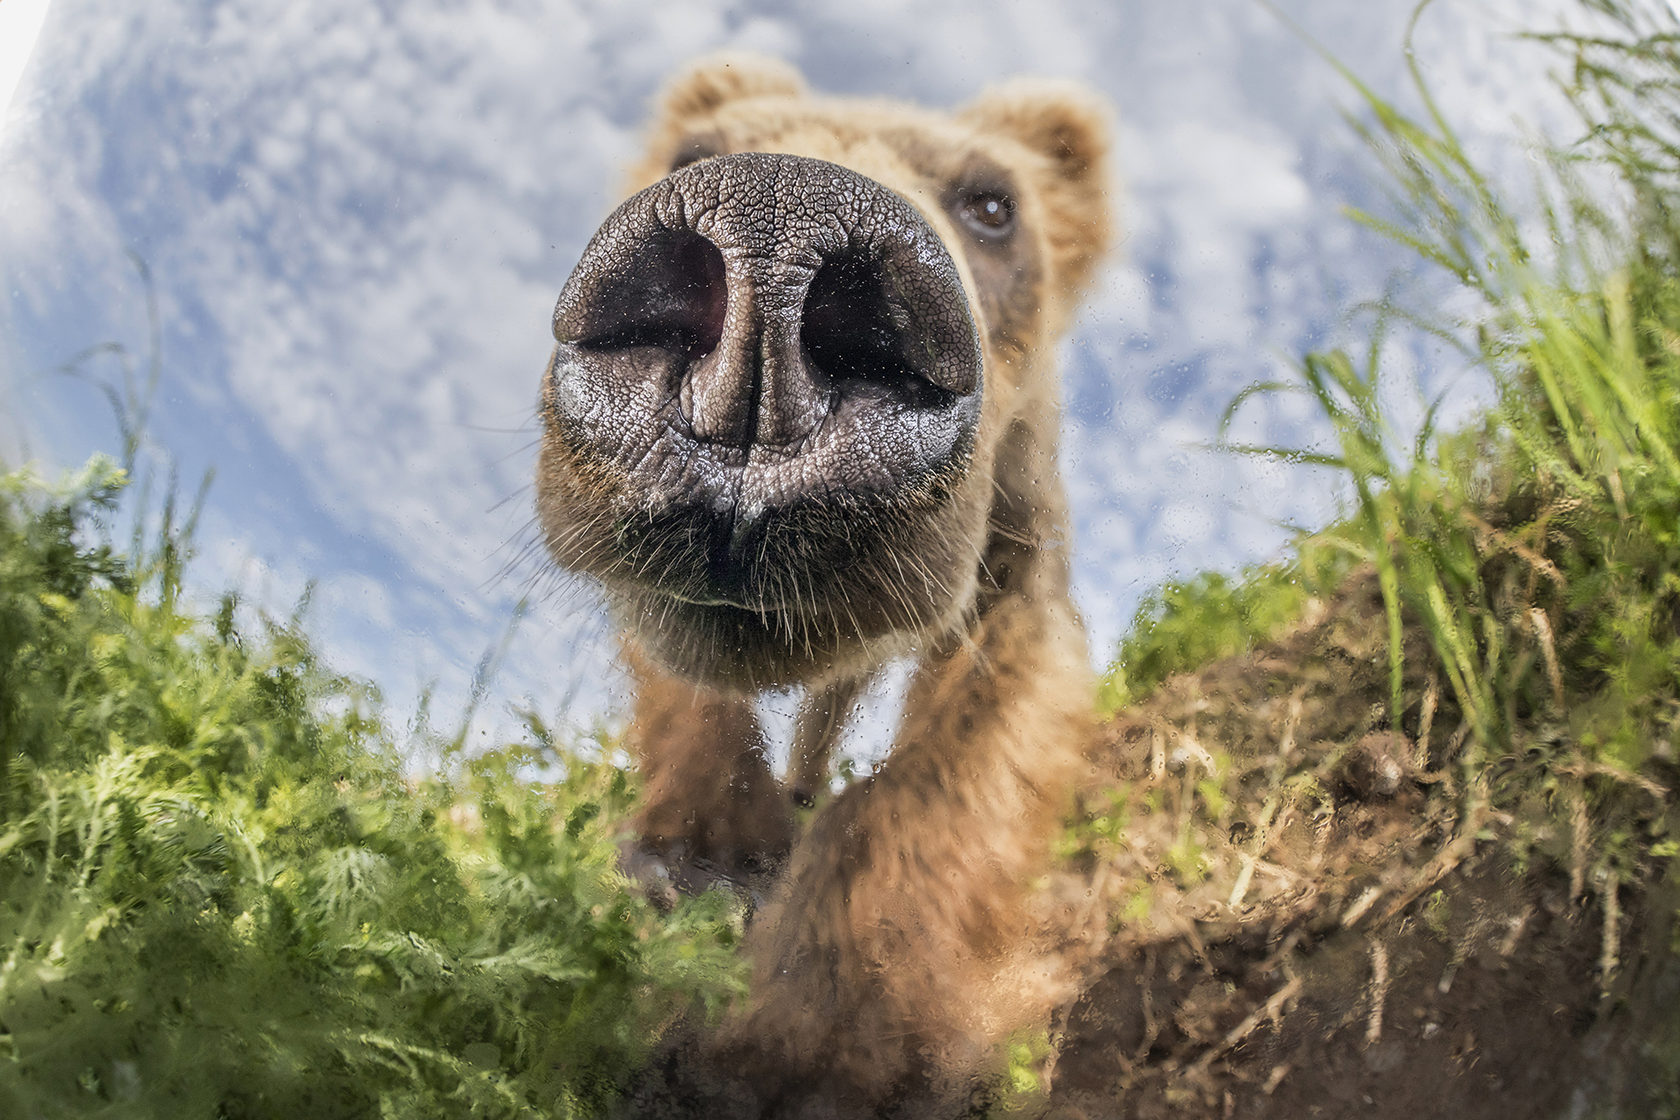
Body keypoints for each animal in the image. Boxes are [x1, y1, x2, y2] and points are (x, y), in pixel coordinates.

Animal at [537, 54, 1115, 1120]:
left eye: (993, 204)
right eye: (693, 152)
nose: (770, 256)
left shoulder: (1009, 535)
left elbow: (980, 727)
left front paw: (821, 1036)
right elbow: (680, 675)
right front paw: (699, 861)